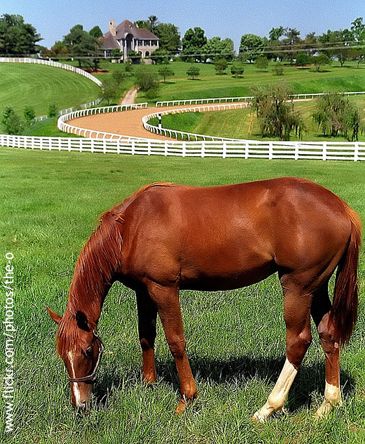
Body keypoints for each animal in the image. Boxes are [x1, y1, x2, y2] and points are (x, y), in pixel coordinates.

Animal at [47, 177, 360, 420]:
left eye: (88, 351)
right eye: (62, 355)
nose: (80, 405)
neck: (132, 226)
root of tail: (341, 207)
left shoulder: (164, 288)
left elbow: (176, 341)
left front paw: (187, 398)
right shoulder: (143, 290)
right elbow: (146, 336)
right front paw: (149, 384)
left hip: (297, 286)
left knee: (298, 342)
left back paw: (268, 408)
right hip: (317, 287)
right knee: (328, 334)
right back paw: (328, 405)